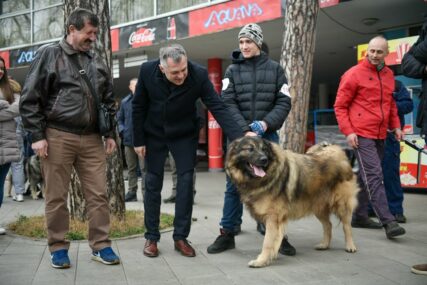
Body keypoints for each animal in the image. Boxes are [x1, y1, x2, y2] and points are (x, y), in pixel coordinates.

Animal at [227, 136, 362, 268]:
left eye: (264, 149)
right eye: (250, 149)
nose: (264, 159)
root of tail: (336, 151)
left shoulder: (273, 218)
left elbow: (267, 242)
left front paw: (261, 261)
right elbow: (275, 240)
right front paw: (270, 257)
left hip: (342, 205)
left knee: (346, 226)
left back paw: (350, 246)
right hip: (318, 206)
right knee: (328, 225)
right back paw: (324, 244)